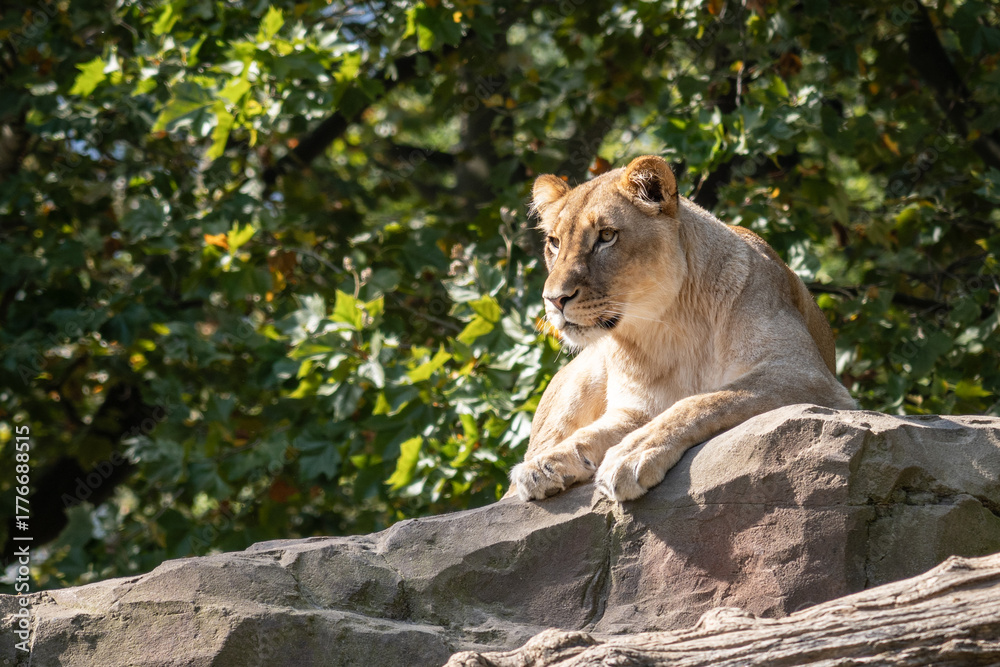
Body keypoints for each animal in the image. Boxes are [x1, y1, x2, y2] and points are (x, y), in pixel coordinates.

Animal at [508, 155, 856, 502]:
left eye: (606, 236)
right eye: (554, 243)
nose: (554, 299)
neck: (669, 326)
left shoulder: (808, 376)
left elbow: (702, 402)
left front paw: (630, 454)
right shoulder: (635, 408)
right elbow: (591, 433)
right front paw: (549, 463)